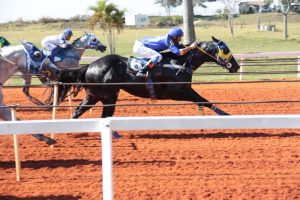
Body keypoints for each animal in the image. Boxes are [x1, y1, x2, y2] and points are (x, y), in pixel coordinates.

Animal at [58, 36, 240, 119]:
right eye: (225, 49)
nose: (236, 66)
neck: (180, 63)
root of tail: (89, 66)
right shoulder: (177, 92)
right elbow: (204, 101)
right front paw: (226, 115)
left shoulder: (185, 89)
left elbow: (202, 101)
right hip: (108, 95)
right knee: (103, 115)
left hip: (94, 95)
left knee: (79, 111)